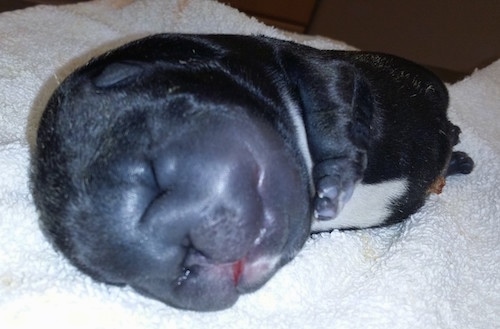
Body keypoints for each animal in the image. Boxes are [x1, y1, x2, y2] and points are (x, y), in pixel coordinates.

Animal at [29, 33, 474, 310]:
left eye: (153, 176)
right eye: (135, 280)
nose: (189, 255)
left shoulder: (309, 63)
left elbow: (329, 102)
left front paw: (336, 177)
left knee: (447, 126)